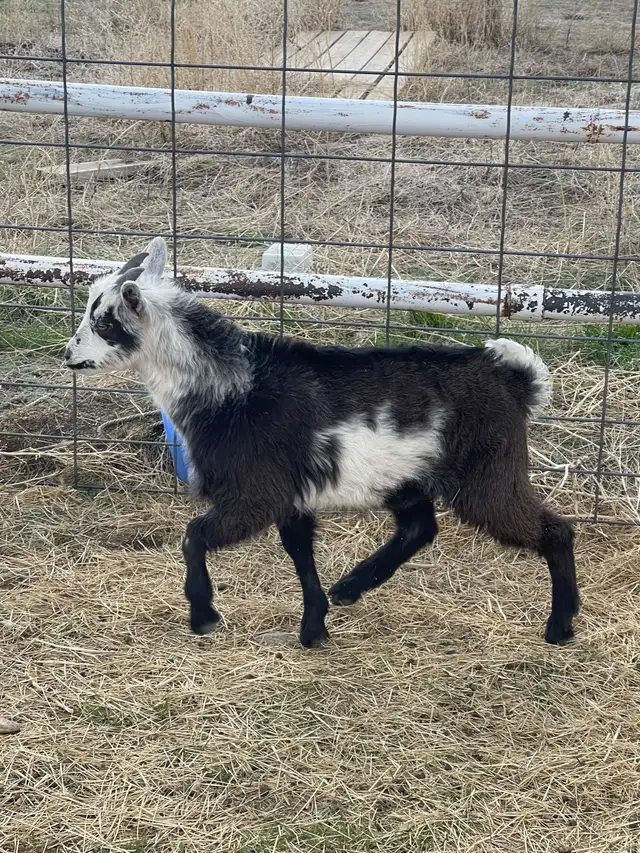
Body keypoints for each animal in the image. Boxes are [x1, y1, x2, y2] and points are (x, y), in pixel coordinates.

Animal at [64, 237, 579, 647]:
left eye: (104, 322)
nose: (68, 354)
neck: (234, 387)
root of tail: (515, 378)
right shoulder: (292, 499)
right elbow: (301, 558)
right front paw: (314, 629)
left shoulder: (255, 495)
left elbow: (194, 536)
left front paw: (204, 617)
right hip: (409, 479)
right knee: (419, 528)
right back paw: (351, 587)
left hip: (489, 475)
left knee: (556, 530)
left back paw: (561, 626)